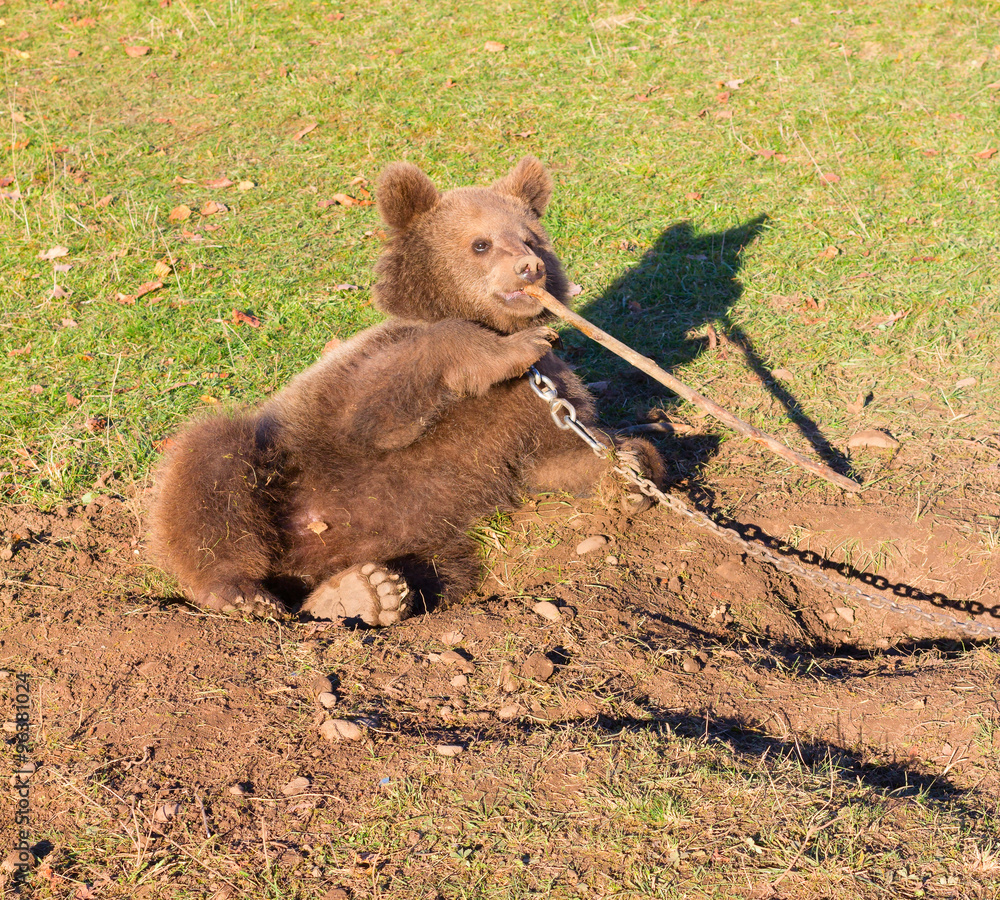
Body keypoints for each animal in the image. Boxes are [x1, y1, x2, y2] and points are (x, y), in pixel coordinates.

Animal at [149, 156, 665, 626]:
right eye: (480, 243)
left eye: (531, 237)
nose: (529, 267)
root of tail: (301, 559)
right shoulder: (363, 375)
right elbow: (379, 407)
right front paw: (509, 349)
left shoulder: (537, 403)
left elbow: (558, 457)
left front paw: (630, 469)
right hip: (282, 467)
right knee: (213, 470)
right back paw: (241, 592)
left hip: (422, 534)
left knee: (440, 569)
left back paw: (364, 591)